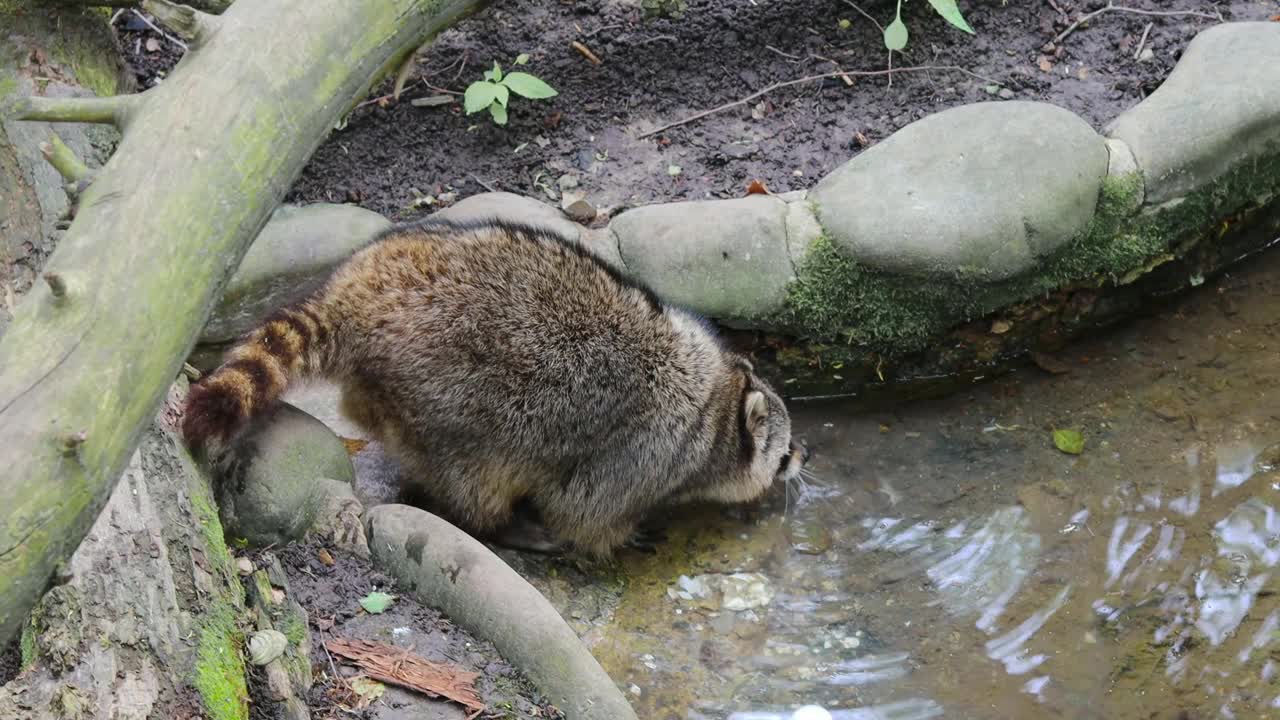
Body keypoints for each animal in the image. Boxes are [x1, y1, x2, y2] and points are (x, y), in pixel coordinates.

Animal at [185, 217, 803, 556]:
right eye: (784, 450)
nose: (806, 456)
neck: (720, 405)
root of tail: (358, 287)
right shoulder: (641, 453)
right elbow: (583, 511)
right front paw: (616, 538)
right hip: (445, 395)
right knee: (474, 477)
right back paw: (500, 524)